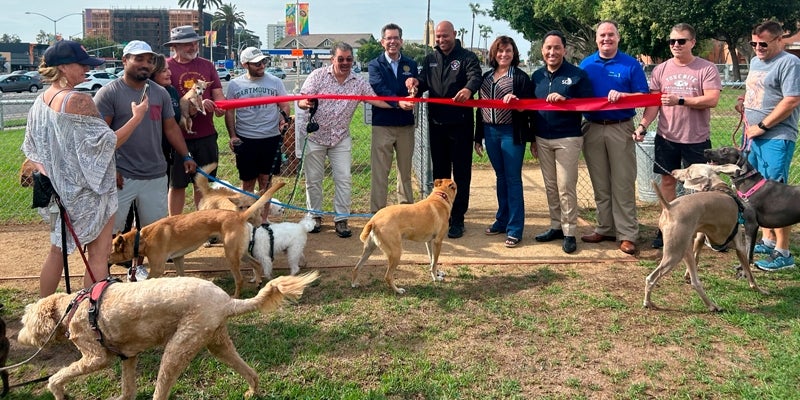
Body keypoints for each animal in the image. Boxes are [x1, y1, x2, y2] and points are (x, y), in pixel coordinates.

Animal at [17, 272, 318, 400]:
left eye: (25, 322)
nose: (19, 338)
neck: (72, 307)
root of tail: (227, 301)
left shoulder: (96, 358)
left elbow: (58, 376)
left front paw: (57, 391)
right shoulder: (128, 357)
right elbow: (128, 390)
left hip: (177, 349)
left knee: (161, 392)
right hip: (217, 343)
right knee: (250, 371)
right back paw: (252, 391)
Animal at [108, 181, 286, 296]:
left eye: (109, 252)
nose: (106, 262)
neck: (142, 238)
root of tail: (240, 215)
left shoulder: (158, 268)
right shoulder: (178, 258)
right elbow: (181, 276)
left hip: (231, 256)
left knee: (240, 279)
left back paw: (235, 297)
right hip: (239, 253)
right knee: (256, 264)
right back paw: (258, 283)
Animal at [640, 163, 764, 312]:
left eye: (688, 171)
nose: (673, 171)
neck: (719, 188)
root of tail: (669, 206)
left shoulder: (699, 238)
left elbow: (697, 256)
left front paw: (686, 275)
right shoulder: (740, 247)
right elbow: (749, 273)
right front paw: (759, 290)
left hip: (684, 248)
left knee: (690, 278)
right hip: (674, 253)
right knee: (655, 278)